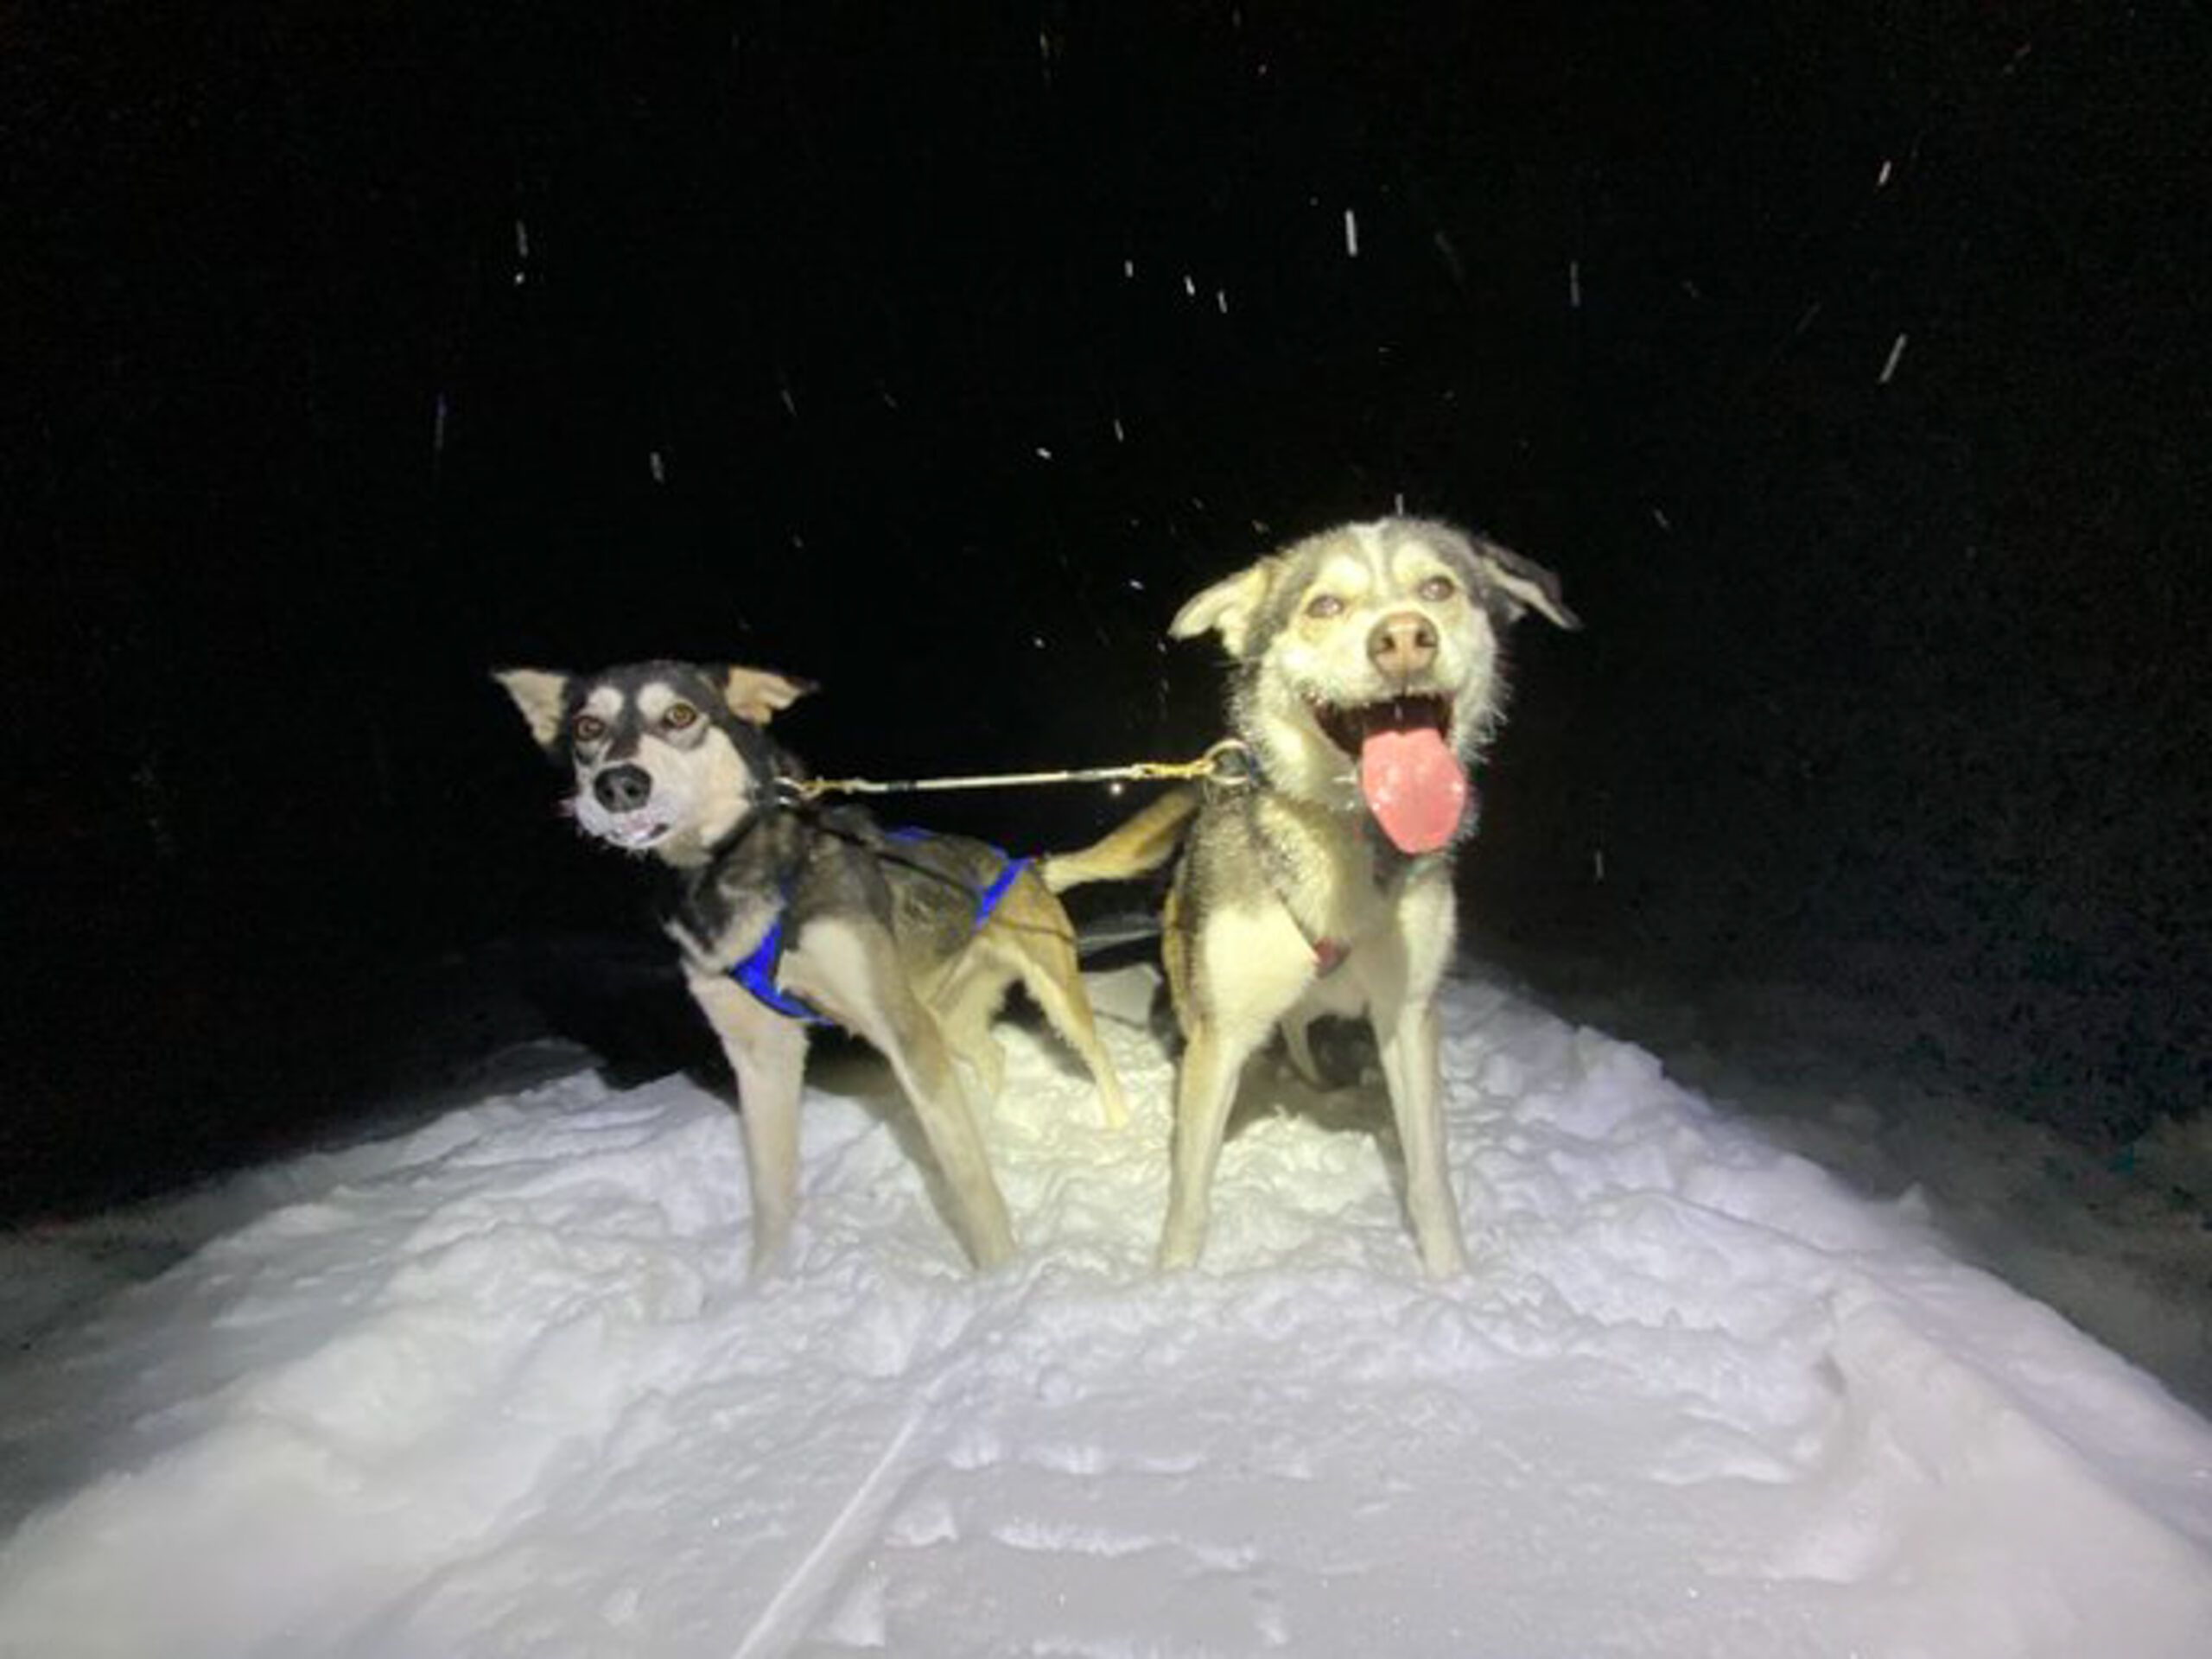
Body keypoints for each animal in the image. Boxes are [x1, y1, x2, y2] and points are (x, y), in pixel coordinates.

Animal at [498, 664, 1123, 1274]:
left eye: (680, 714)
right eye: (587, 728)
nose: (618, 785)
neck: (741, 876)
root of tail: (1026, 865)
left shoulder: (902, 1029)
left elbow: (968, 1177)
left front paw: (1002, 1276)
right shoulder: (761, 1055)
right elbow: (772, 1191)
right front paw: (763, 1287)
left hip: (1046, 998)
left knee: (1097, 1060)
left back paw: (1118, 1124)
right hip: (947, 1016)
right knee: (992, 1058)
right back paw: (992, 1118)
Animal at [1048, 526, 1583, 1282]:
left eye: (1438, 588)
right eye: (1325, 604)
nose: (1404, 638)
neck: (1342, 845)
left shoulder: (1407, 1013)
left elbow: (1429, 1175)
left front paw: (1451, 1279)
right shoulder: (1222, 1032)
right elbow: (1191, 1192)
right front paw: (1173, 1282)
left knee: (1301, 1024)